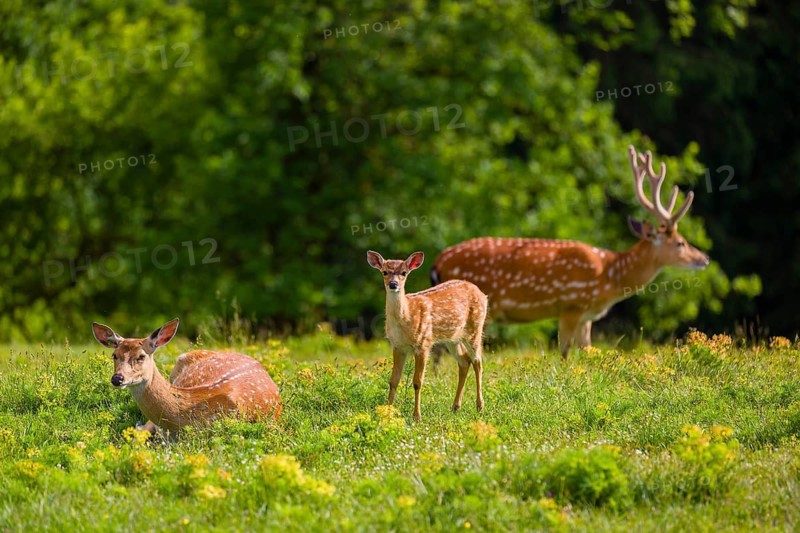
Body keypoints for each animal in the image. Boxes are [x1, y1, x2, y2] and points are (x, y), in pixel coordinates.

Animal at [367, 250, 488, 421]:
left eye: (404, 273)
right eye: (384, 272)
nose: (393, 284)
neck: (405, 319)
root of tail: (482, 293)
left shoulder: (423, 343)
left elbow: (417, 382)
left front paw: (417, 417)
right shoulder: (398, 346)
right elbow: (393, 380)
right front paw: (387, 411)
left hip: (475, 328)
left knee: (477, 362)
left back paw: (479, 406)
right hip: (452, 338)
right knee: (464, 361)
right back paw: (455, 407)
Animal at [430, 145, 710, 357]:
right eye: (680, 242)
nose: (704, 258)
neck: (610, 277)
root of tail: (438, 262)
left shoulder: (587, 316)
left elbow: (586, 349)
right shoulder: (571, 304)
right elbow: (564, 351)